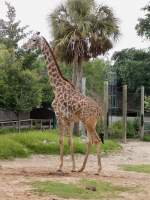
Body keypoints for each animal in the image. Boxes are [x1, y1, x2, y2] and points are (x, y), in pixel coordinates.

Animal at [24, 32, 104, 174]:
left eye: (33, 40)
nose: (24, 45)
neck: (56, 87)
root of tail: (99, 110)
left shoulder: (59, 116)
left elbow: (61, 140)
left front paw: (60, 167)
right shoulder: (69, 120)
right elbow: (70, 141)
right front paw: (73, 167)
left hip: (89, 123)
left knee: (97, 140)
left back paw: (98, 170)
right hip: (89, 123)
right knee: (90, 141)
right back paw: (81, 168)